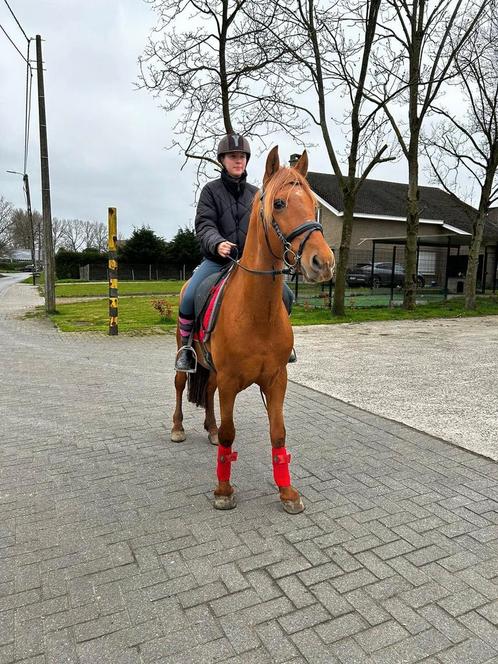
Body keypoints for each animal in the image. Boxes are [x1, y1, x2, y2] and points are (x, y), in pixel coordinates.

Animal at [171, 148, 334, 512]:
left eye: (312, 202)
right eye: (280, 203)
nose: (323, 263)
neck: (257, 313)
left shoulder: (276, 380)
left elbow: (278, 433)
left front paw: (287, 492)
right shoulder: (232, 381)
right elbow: (231, 434)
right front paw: (223, 490)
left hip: (215, 370)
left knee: (208, 391)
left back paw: (209, 428)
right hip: (185, 355)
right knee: (179, 385)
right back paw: (177, 428)